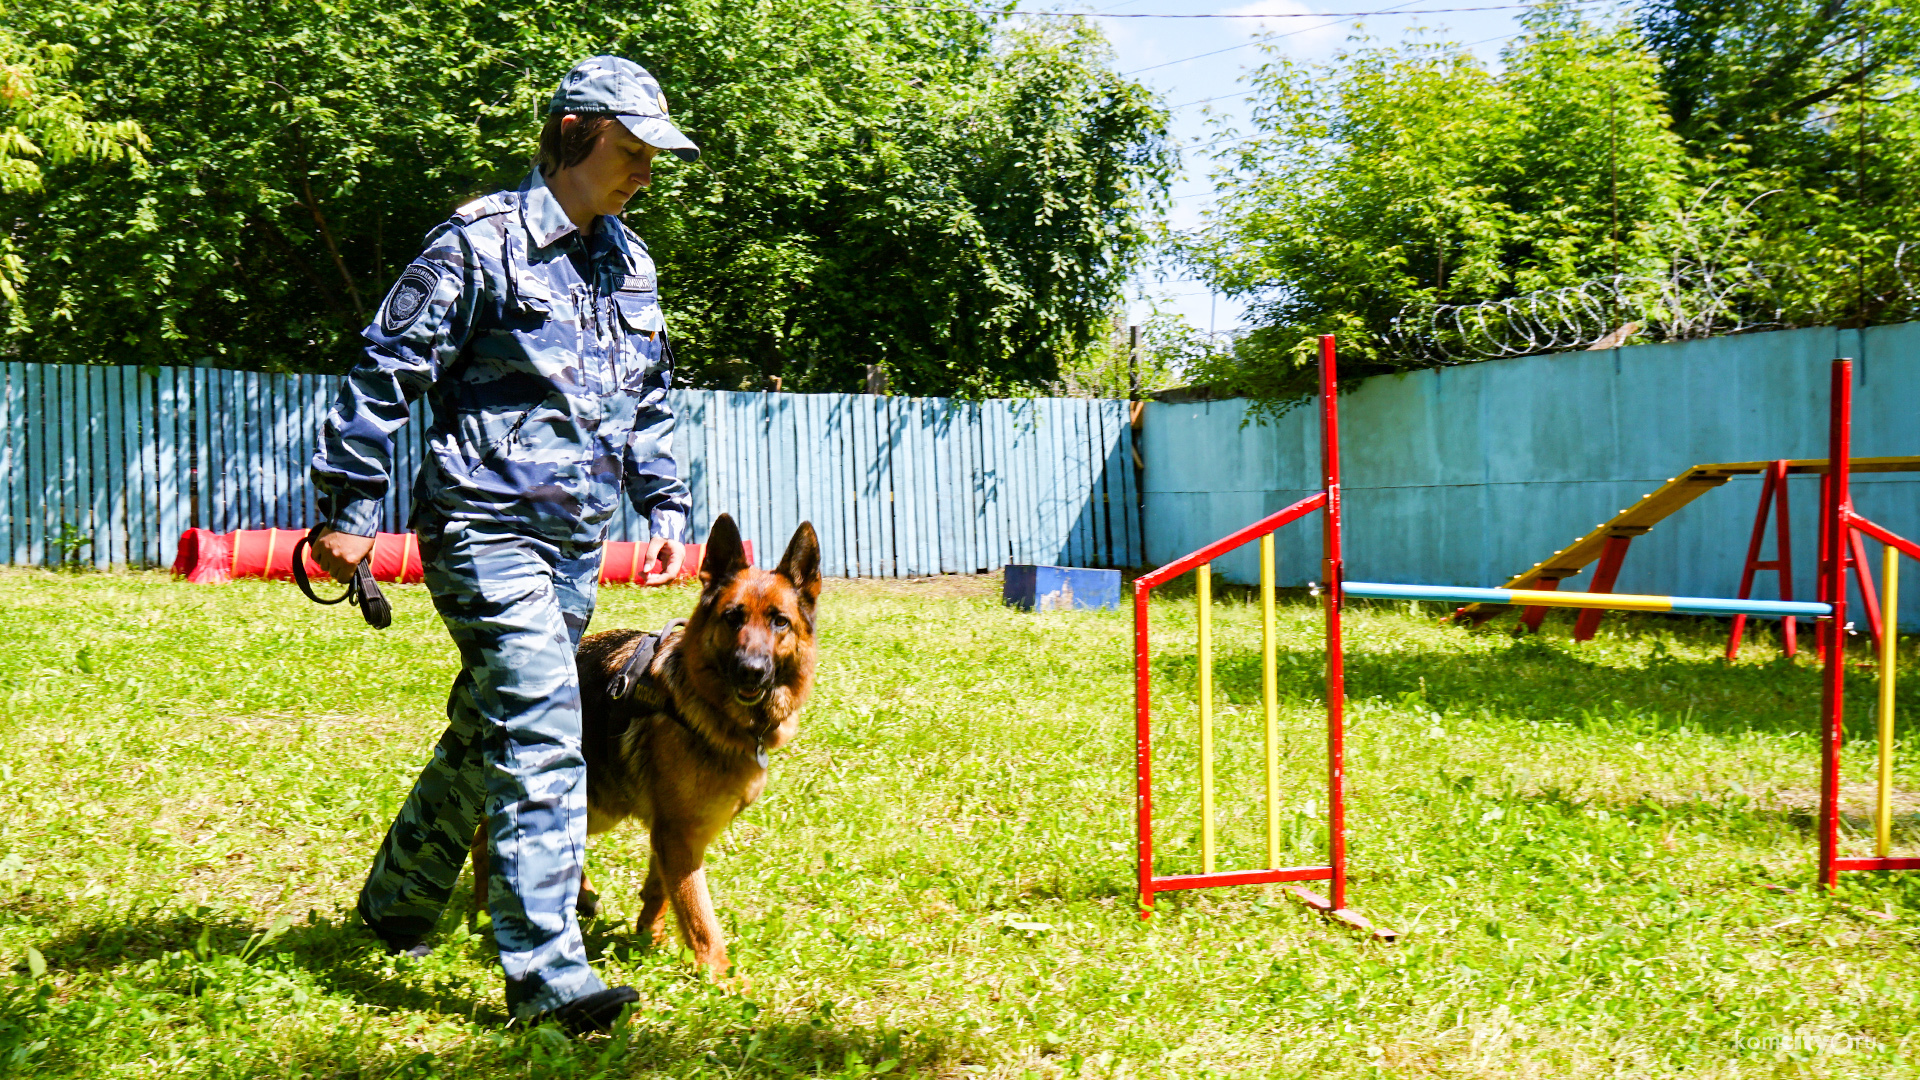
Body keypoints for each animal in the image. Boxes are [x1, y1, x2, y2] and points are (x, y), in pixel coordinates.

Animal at [476, 511, 821, 976]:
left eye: (779, 621)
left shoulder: (676, 831)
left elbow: (662, 889)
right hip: (592, 798)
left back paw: (580, 897)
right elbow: (699, 913)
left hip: (599, 802)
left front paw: (648, 936)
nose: (750, 670)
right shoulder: (678, 834)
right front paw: (721, 976)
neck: (709, 708)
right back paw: (482, 912)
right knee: (487, 835)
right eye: (732, 618)